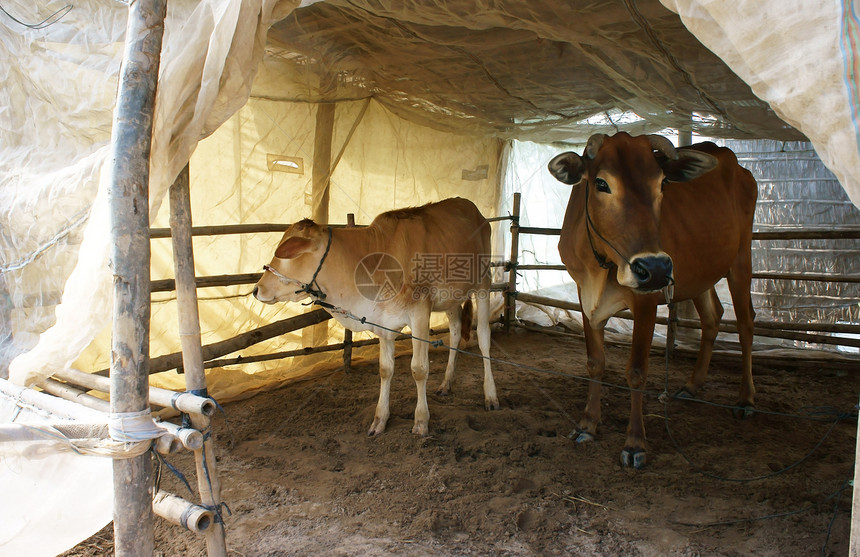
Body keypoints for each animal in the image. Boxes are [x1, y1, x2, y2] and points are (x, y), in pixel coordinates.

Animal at [252, 198, 498, 436]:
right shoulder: (383, 322)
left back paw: (491, 396)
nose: (256, 289)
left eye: (284, 253)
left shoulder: (420, 312)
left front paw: (421, 421)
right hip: (451, 298)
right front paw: (380, 420)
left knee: (484, 337)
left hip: (484, 283)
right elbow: (385, 369)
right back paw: (446, 383)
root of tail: (473, 209)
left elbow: (419, 369)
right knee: (456, 331)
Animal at [548, 132, 756, 466]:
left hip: (740, 259)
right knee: (713, 318)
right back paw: (692, 385)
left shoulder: (645, 301)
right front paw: (587, 425)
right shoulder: (584, 294)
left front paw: (635, 443)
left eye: (662, 184)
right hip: (700, 272)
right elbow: (595, 363)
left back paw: (746, 398)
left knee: (746, 324)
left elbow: (636, 372)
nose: (655, 268)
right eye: (601, 183)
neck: (601, 266)